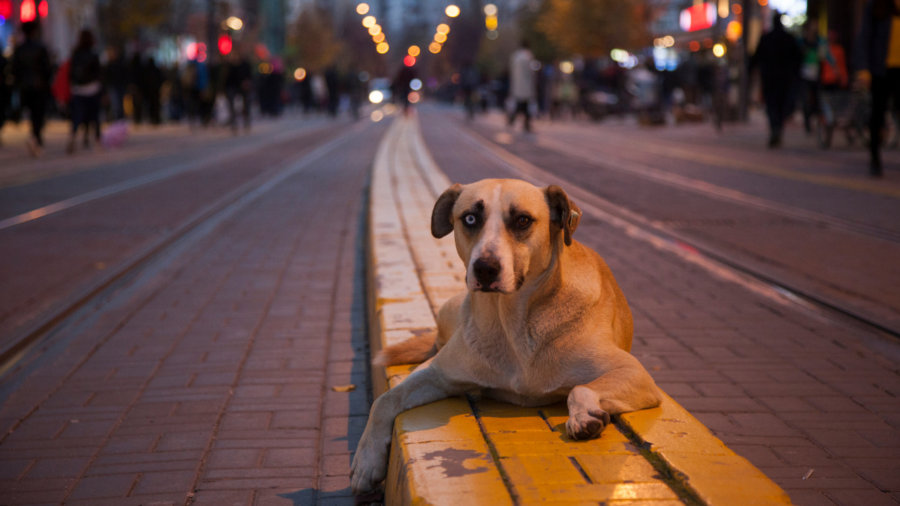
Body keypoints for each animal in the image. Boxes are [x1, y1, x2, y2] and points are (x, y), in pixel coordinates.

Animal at [352, 179, 660, 494]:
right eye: (470, 218)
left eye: (523, 220)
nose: (485, 268)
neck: (512, 324)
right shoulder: (437, 373)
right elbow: (385, 399)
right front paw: (366, 461)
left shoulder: (634, 373)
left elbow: (580, 388)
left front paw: (583, 415)